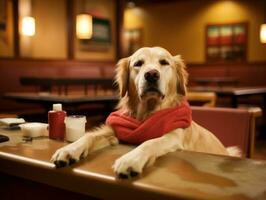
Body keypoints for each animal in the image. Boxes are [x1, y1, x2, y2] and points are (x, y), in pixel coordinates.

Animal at [51, 47, 240, 178]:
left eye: (164, 62)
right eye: (138, 64)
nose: (151, 74)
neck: (146, 114)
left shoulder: (174, 136)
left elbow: (150, 142)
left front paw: (130, 160)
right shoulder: (113, 131)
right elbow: (89, 135)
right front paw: (69, 150)